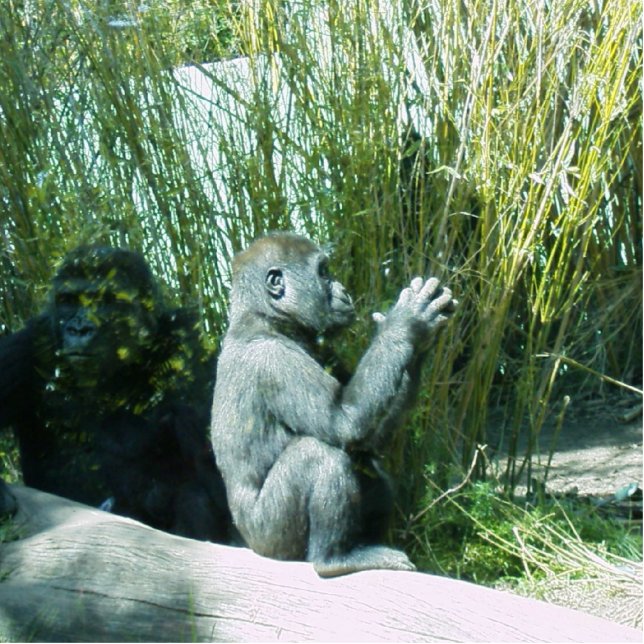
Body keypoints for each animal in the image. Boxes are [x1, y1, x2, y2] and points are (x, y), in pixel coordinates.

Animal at [210, 232, 456, 576]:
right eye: (323, 273)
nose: (343, 289)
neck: (265, 319)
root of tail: (251, 545)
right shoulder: (273, 359)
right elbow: (343, 421)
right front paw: (406, 324)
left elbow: (367, 438)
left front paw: (417, 342)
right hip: (270, 538)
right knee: (318, 454)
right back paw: (333, 559)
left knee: (367, 465)